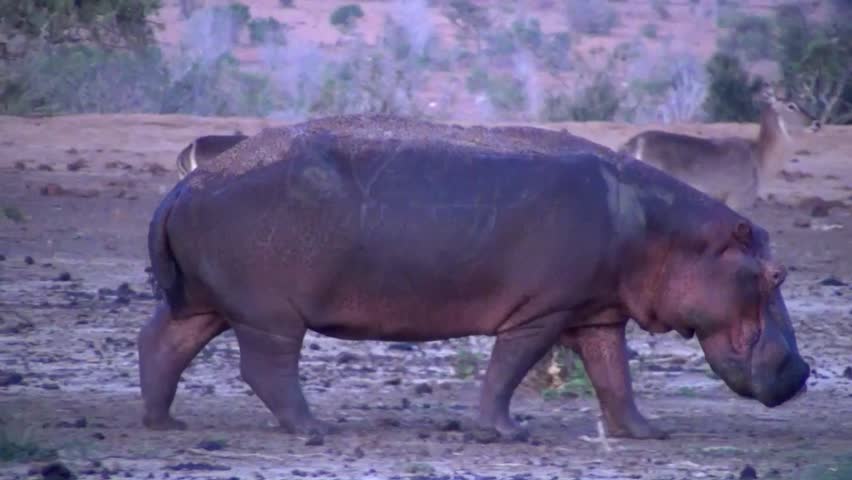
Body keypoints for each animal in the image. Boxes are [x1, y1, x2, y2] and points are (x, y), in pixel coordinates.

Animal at [140, 115, 810, 441]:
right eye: (777, 273)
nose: (804, 371)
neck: (667, 232)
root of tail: (183, 186)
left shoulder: (597, 312)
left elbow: (613, 376)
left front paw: (649, 434)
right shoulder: (543, 311)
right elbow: (508, 369)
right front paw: (507, 434)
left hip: (204, 302)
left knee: (162, 344)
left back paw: (164, 422)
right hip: (269, 314)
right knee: (268, 370)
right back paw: (313, 432)